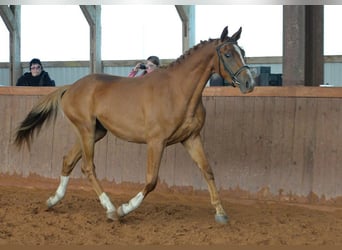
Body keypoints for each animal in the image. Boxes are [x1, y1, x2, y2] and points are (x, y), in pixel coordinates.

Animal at [15, 26, 254, 224]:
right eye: (227, 54)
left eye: (242, 50)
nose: (249, 83)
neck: (178, 91)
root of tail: (70, 88)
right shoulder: (156, 142)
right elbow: (151, 181)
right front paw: (124, 210)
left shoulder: (191, 138)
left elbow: (208, 171)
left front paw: (221, 213)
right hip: (86, 130)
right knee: (87, 166)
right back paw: (110, 209)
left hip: (95, 133)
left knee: (68, 161)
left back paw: (52, 201)